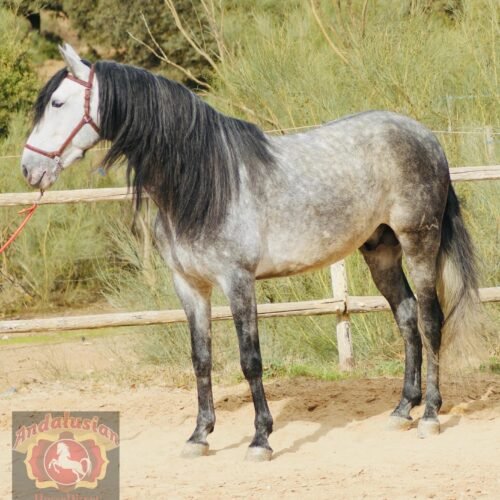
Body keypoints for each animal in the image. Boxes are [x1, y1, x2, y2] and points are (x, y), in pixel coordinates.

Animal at [21, 43, 483, 461]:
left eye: (58, 103)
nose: (29, 169)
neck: (205, 182)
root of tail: (426, 137)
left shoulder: (238, 281)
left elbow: (250, 360)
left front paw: (260, 439)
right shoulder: (189, 286)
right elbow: (201, 359)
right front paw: (199, 436)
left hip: (418, 242)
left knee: (430, 320)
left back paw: (430, 415)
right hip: (381, 249)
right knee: (406, 317)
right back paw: (402, 409)